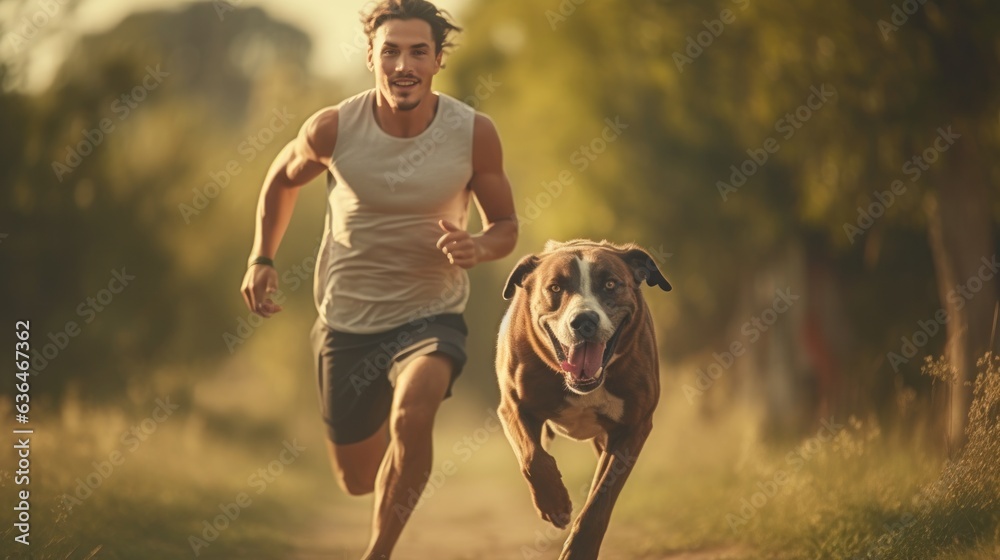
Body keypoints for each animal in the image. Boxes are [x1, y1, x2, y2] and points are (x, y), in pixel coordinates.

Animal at [494, 238, 668, 556]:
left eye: (610, 284)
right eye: (554, 287)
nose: (584, 319)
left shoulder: (633, 426)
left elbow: (601, 496)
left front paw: (579, 549)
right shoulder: (513, 406)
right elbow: (533, 456)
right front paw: (554, 503)